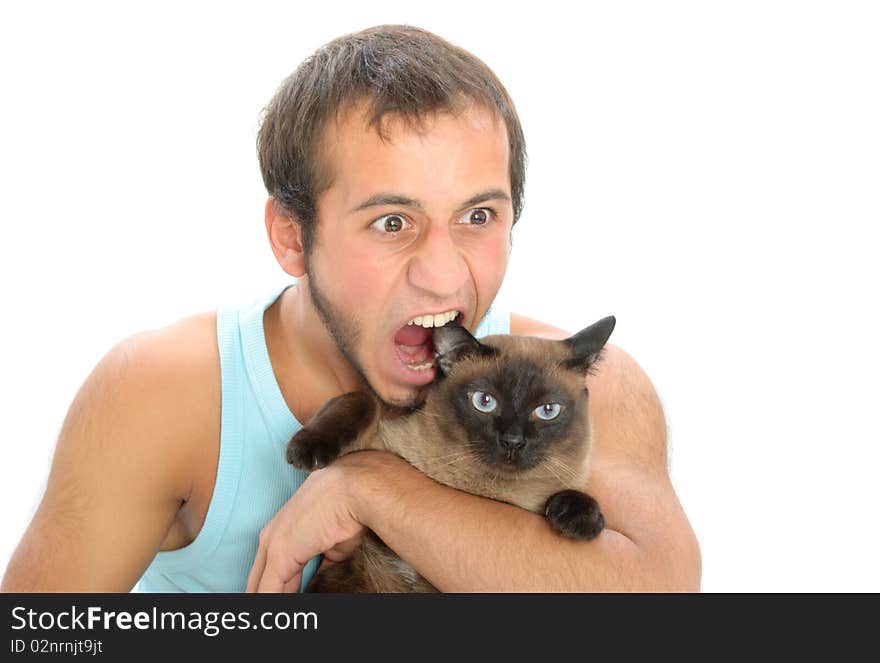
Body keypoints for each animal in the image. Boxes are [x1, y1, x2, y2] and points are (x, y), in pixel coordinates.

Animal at [286, 314, 616, 592]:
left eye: (548, 410)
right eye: (484, 401)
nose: (513, 441)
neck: (484, 491)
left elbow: (575, 494)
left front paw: (580, 521)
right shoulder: (379, 439)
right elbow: (360, 400)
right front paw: (304, 452)